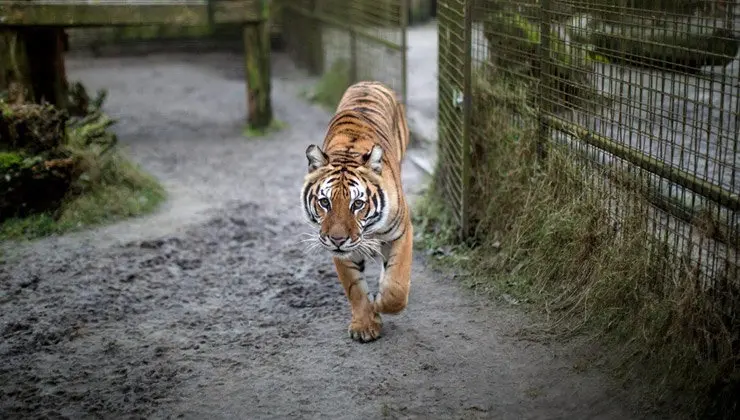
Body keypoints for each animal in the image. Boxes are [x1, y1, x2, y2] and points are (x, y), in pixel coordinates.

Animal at [301, 80, 413, 343]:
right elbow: (355, 289)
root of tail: (370, 82)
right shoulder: (340, 251)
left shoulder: (403, 232)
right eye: (325, 202)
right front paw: (365, 325)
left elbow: (396, 285)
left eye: (358, 204)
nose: (338, 239)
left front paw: (380, 302)